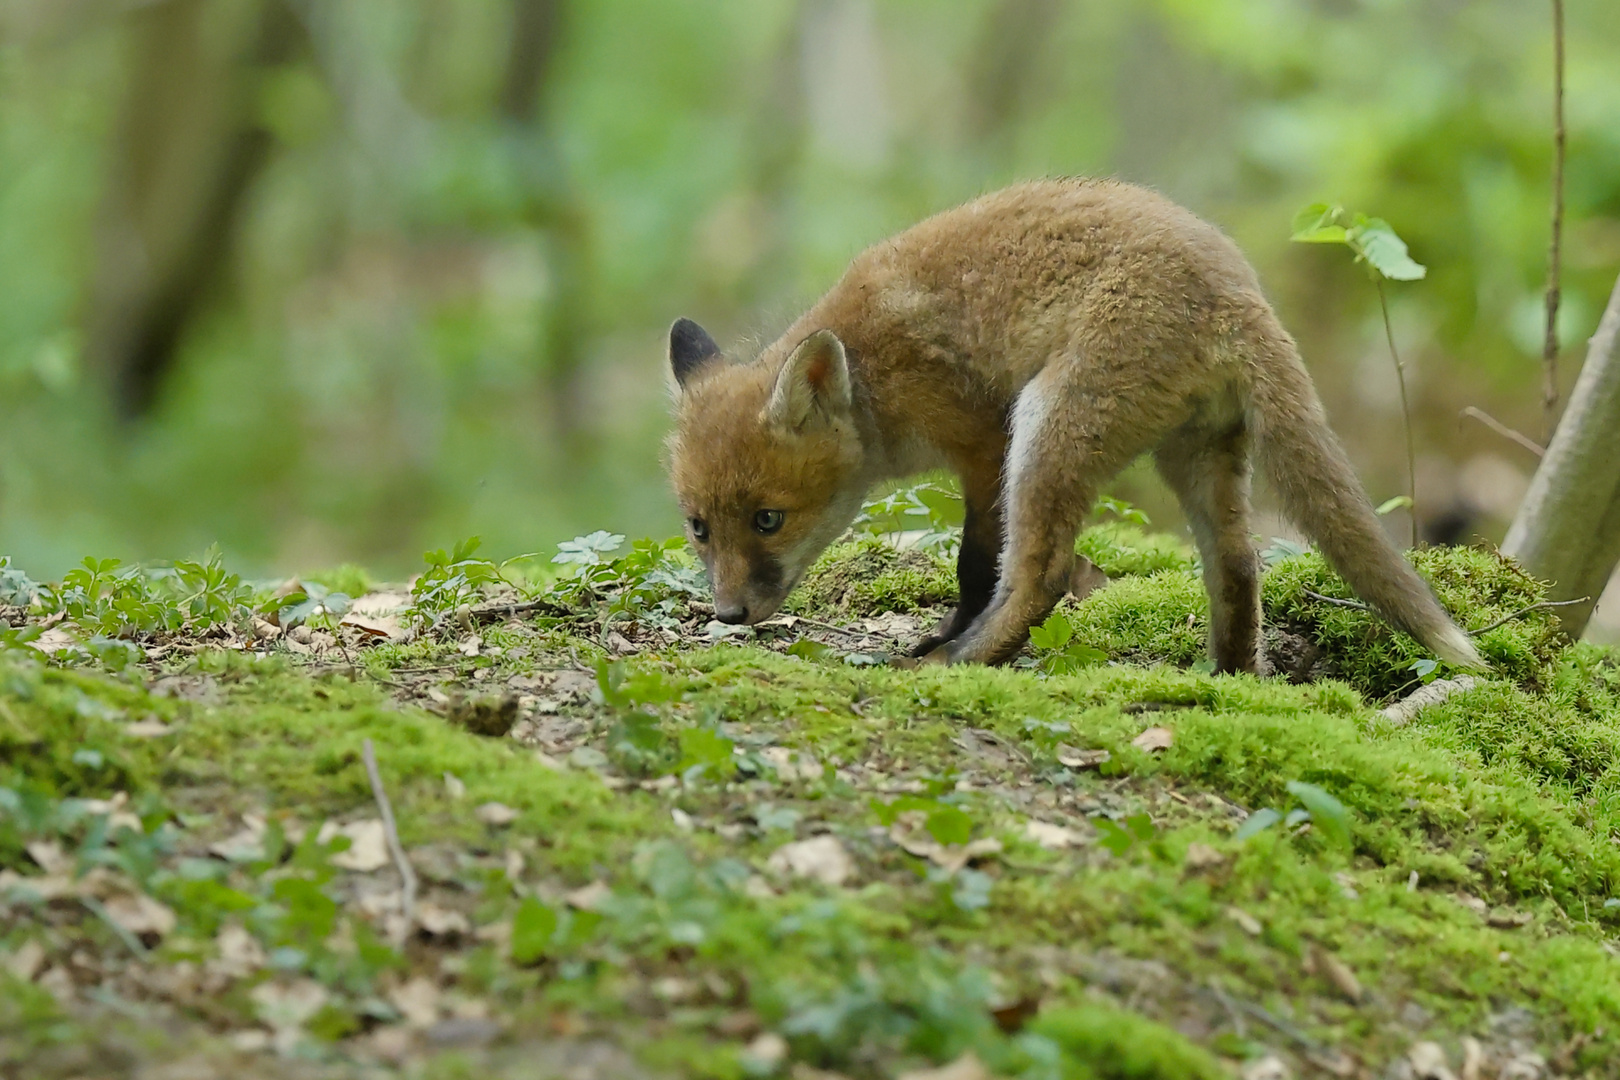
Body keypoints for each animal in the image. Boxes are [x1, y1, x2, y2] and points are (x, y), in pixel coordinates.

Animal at [657, 178, 1483, 670]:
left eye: (768, 520)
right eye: (699, 527)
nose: (729, 614)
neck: (874, 377)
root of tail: (1238, 288)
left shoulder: (983, 442)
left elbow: (976, 565)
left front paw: (950, 639)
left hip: (1048, 429)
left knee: (1044, 575)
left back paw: (965, 661)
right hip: (1196, 455)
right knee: (1240, 565)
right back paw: (1226, 682)